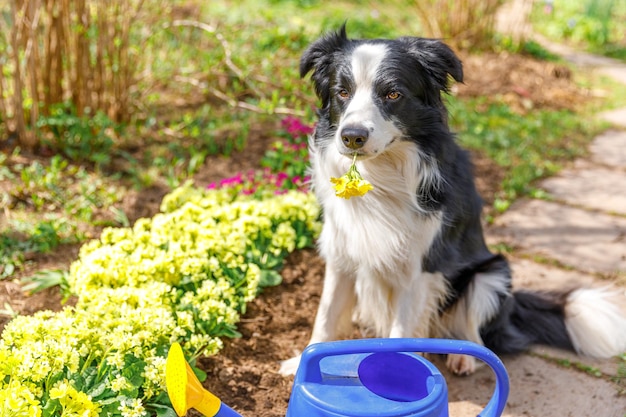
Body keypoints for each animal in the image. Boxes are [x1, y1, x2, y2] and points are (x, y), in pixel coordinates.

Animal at [280, 26, 624, 376]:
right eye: (342, 92)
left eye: (393, 94)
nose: (351, 136)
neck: (381, 175)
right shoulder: (341, 253)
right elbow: (326, 314)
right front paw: (302, 363)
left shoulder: (422, 265)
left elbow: (401, 331)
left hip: (491, 275)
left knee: (476, 333)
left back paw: (464, 358)